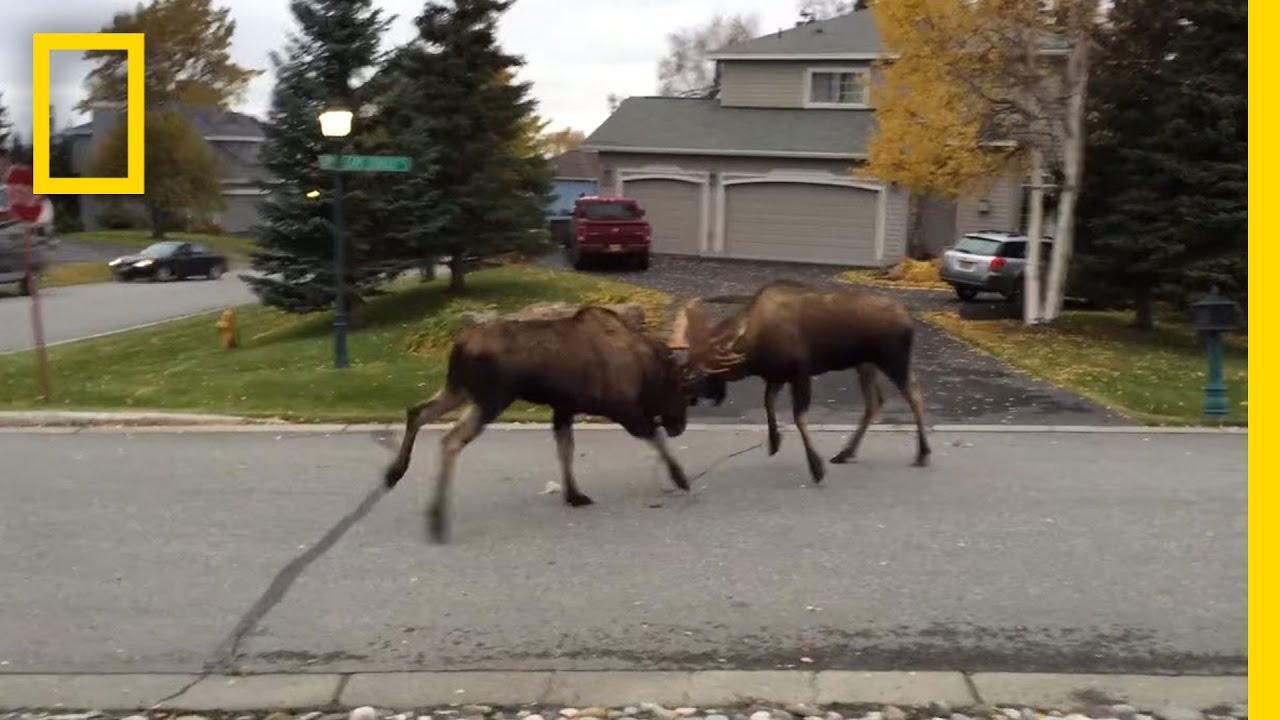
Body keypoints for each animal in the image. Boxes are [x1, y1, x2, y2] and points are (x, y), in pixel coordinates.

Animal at [378, 303, 742, 543]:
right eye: (685, 393)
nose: (680, 426)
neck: (646, 370)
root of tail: (459, 345)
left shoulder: (563, 408)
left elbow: (565, 449)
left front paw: (573, 494)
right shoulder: (621, 408)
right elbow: (653, 437)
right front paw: (680, 477)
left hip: (459, 388)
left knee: (417, 412)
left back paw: (395, 472)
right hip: (491, 398)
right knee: (449, 440)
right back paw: (437, 519)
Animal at [670, 278, 931, 479]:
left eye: (696, 373)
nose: (688, 397)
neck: (753, 348)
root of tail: (908, 319)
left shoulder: (800, 373)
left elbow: (799, 417)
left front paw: (815, 467)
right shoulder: (777, 376)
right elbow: (769, 404)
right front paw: (774, 442)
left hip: (893, 362)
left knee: (914, 393)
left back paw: (922, 453)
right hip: (865, 366)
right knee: (874, 403)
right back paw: (846, 453)